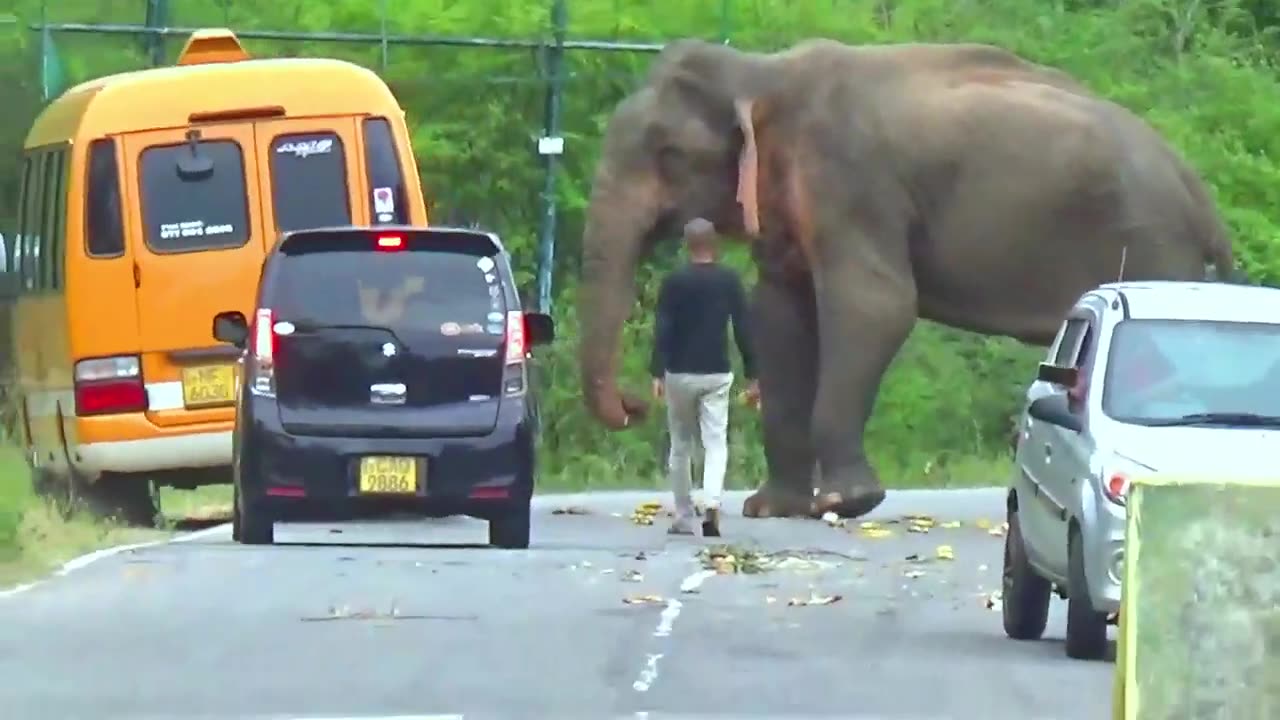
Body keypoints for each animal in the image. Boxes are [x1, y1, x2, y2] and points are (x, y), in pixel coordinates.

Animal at [577, 38, 1236, 520]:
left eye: (666, 154)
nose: (633, 404)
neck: (763, 74)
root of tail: (1201, 195)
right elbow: (780, 318)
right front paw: (772, 510)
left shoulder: (852, 178)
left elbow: (875, 307)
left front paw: (847, 503)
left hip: (1151, 247)